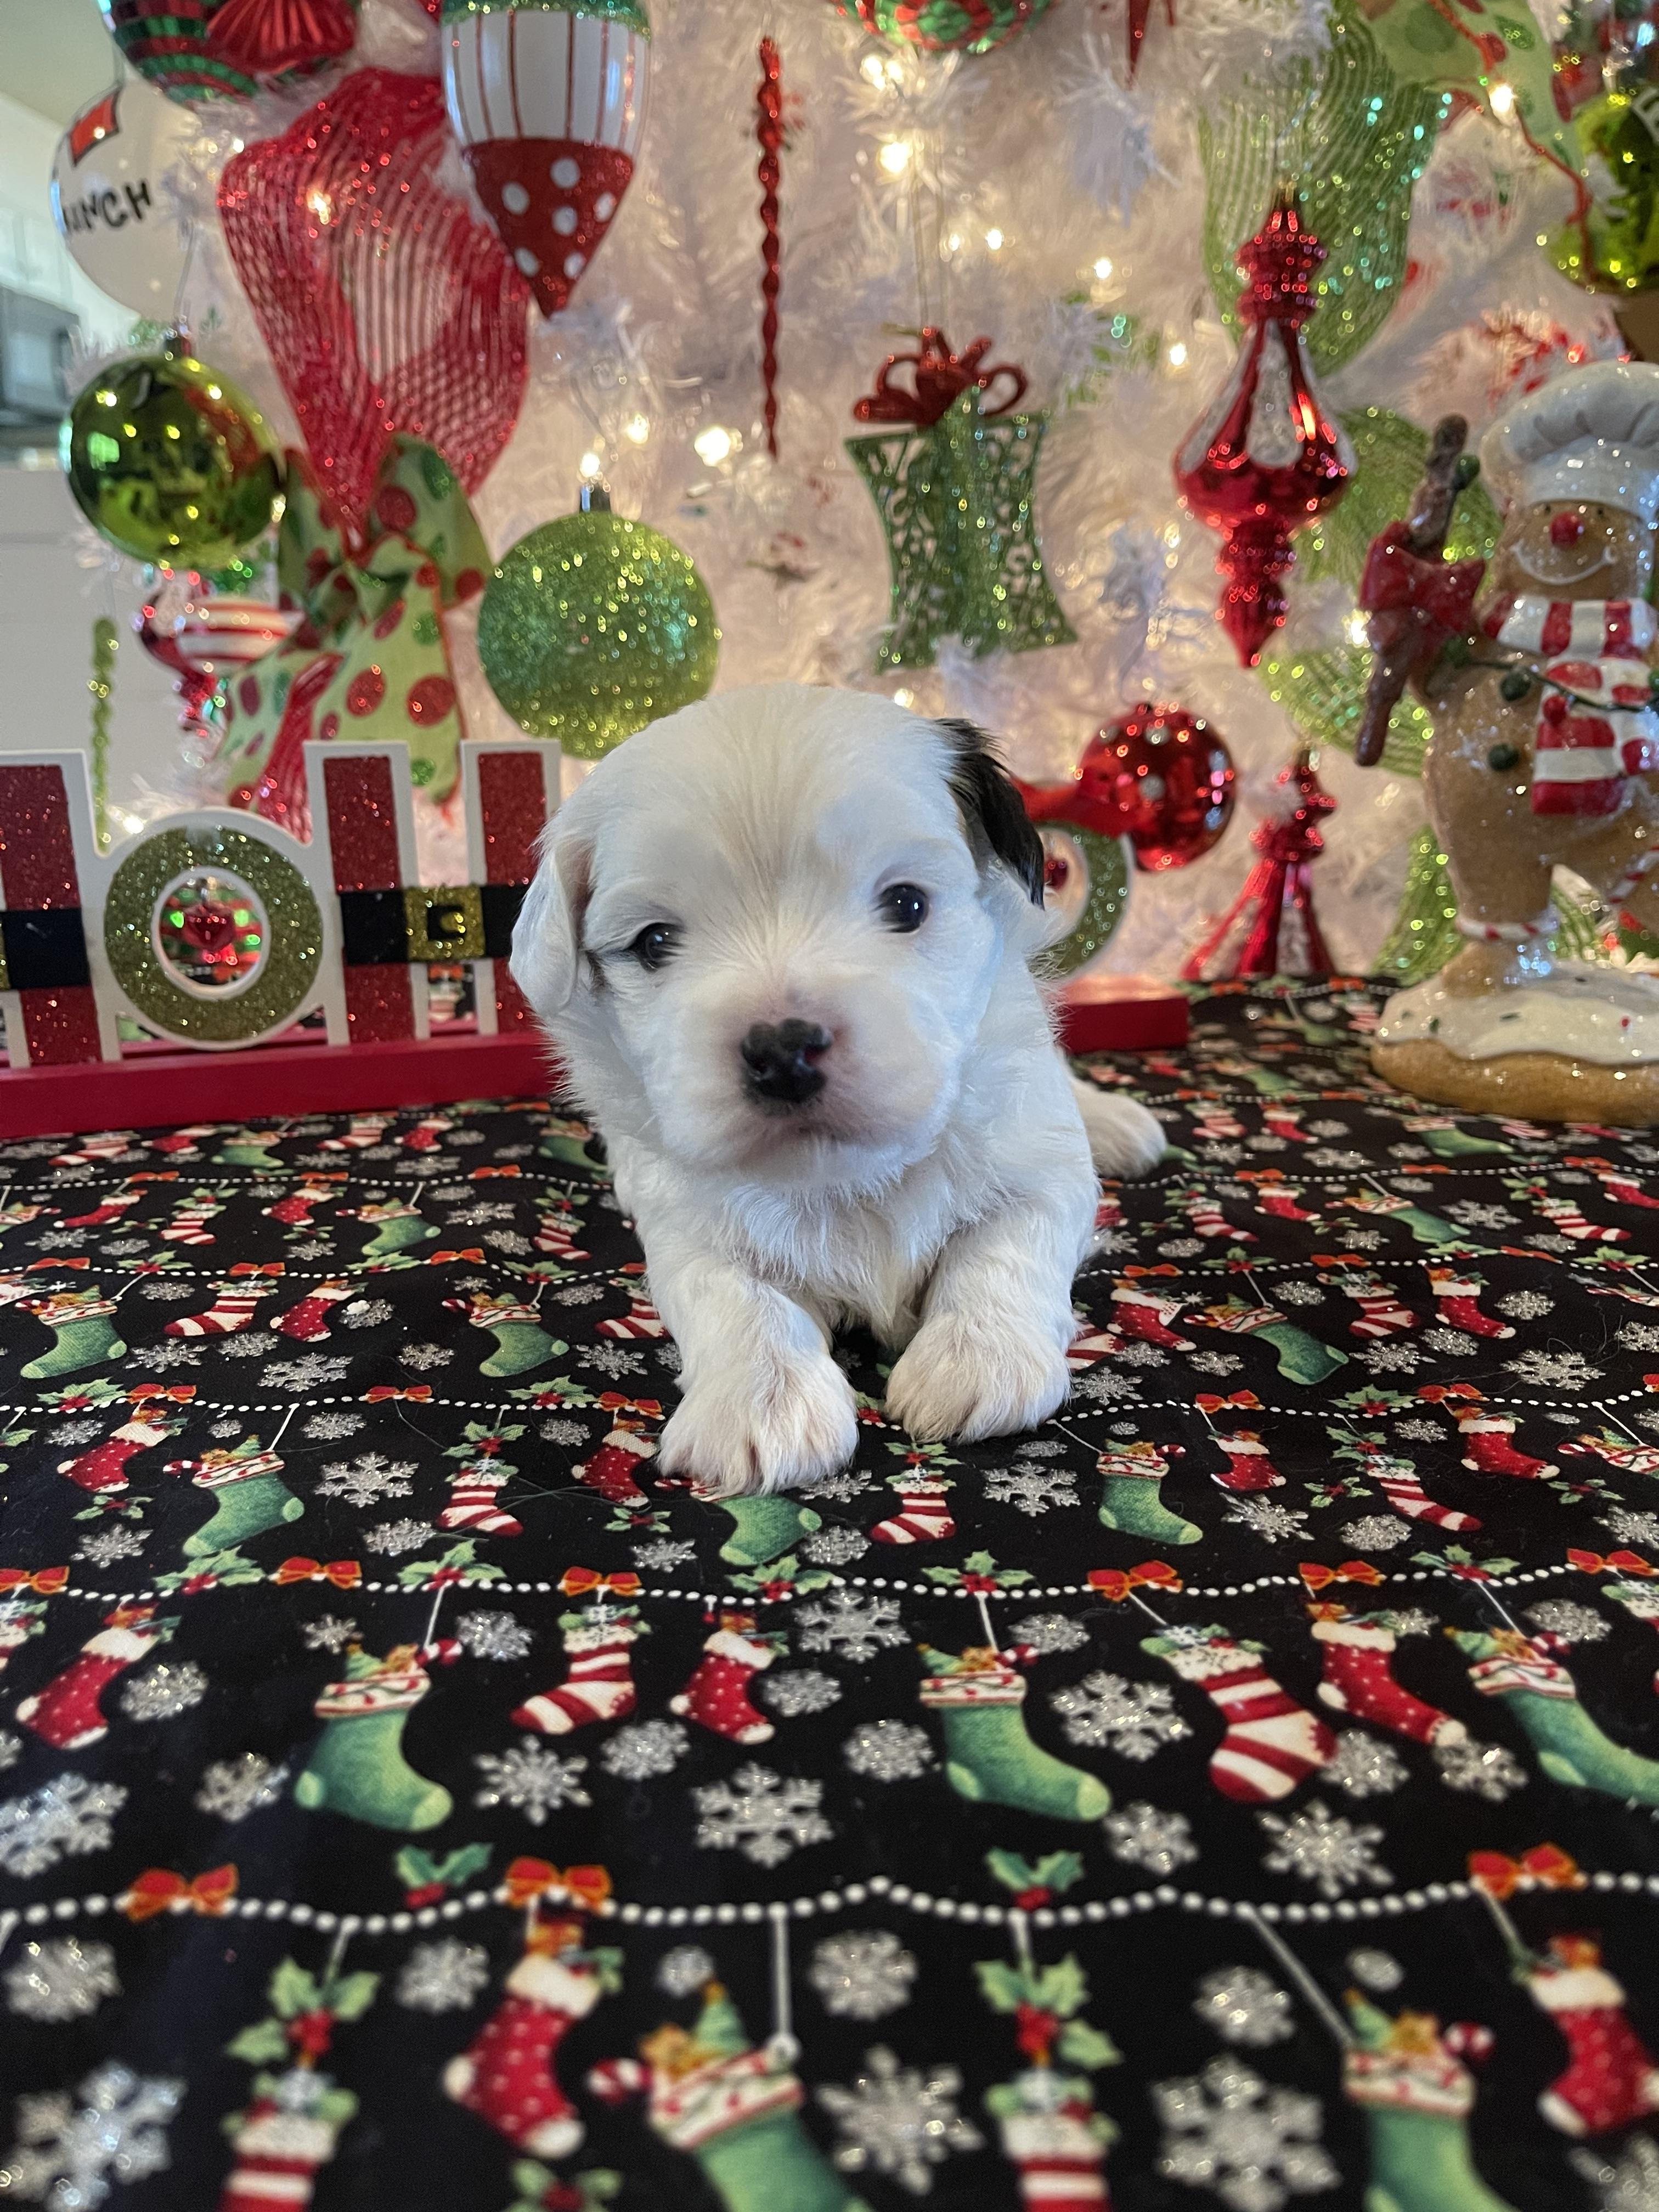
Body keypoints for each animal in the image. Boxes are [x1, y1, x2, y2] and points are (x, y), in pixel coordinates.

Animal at [511, 683, 1166, 1495]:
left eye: (907, 905)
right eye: (654, 943)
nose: (782, 1051)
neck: (847, 1173)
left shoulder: (1042, 1169)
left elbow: (1008, 1244)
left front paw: (978, 1357)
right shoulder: (683, 1224)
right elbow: (731, 1295)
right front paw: (761, 1401)